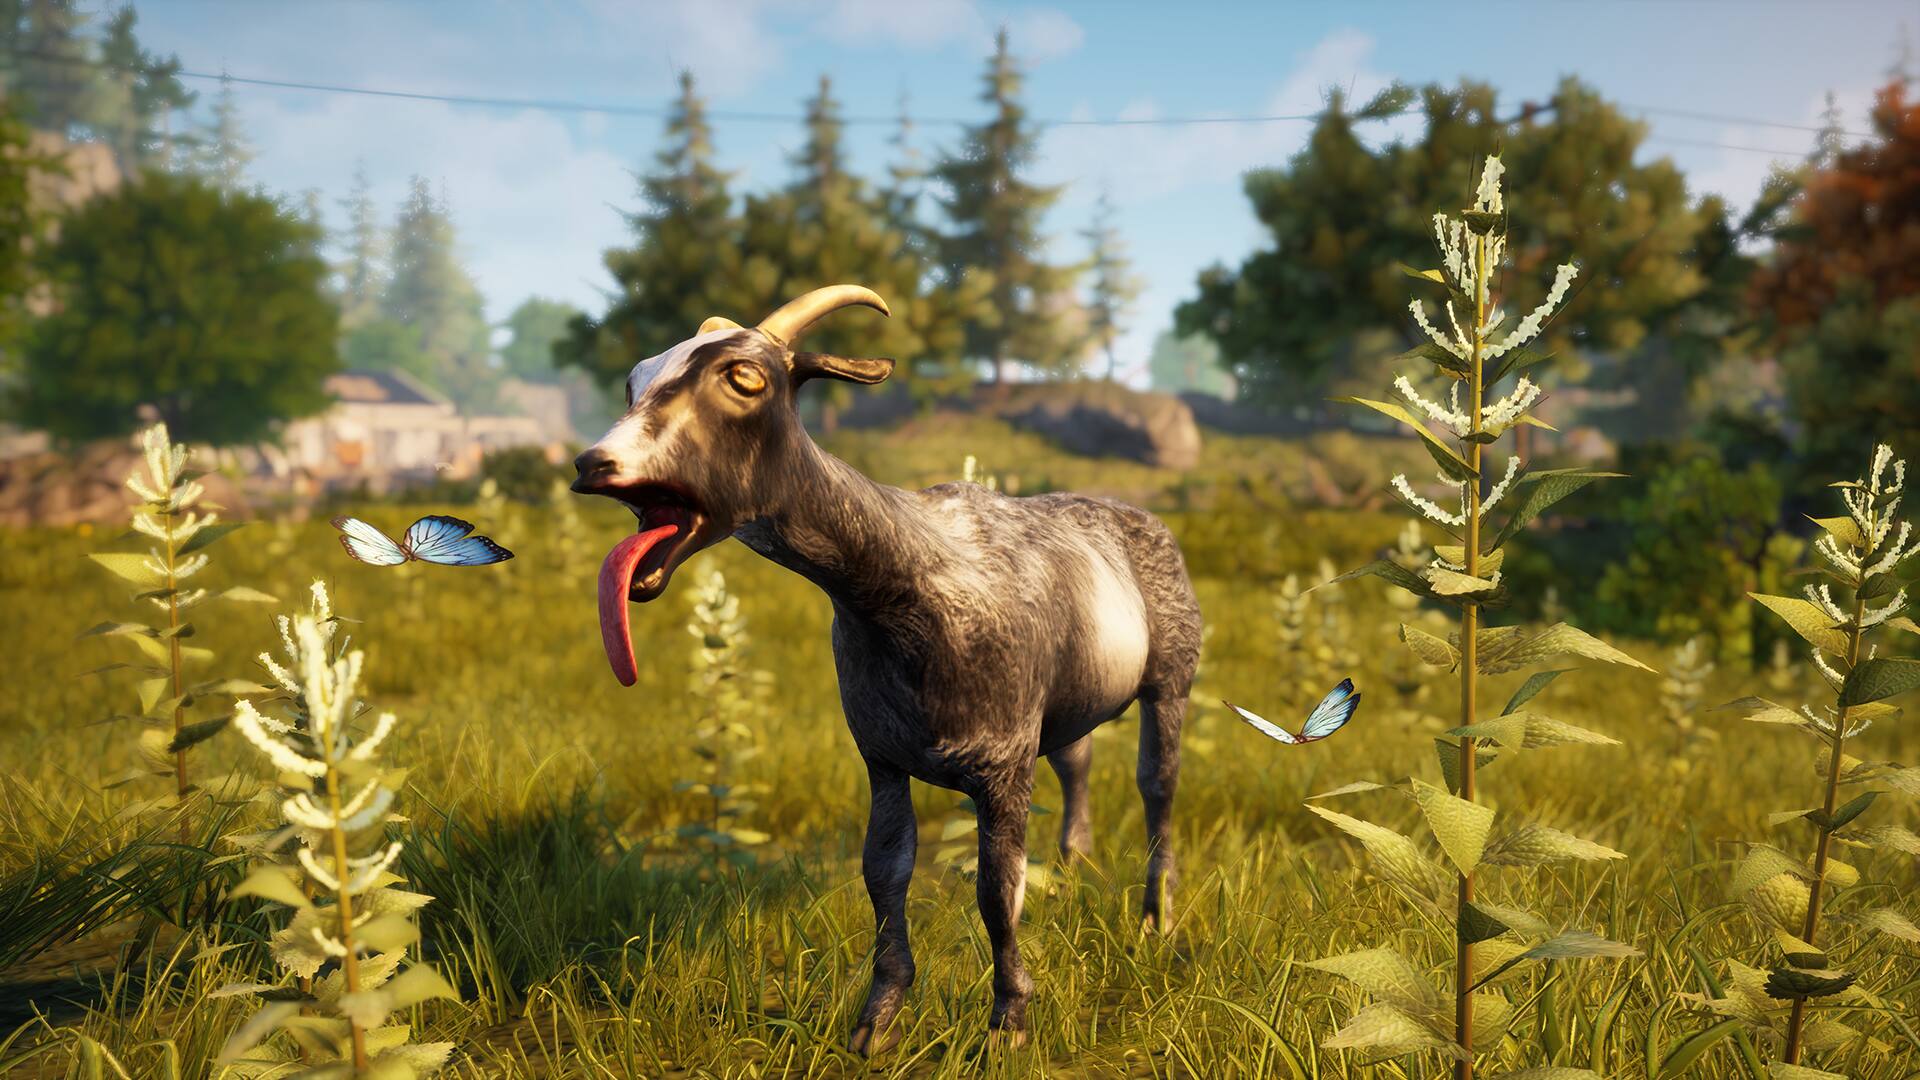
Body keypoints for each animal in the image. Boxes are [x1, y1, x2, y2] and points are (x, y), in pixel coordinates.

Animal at [571, 285, 1202, 1051]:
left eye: (744, 377)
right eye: (635, 381)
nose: (595, 464)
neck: (907, 591)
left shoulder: (1002, 764)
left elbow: (998, 887)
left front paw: (1009, 1021)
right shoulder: (883, 755)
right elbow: (884, 871)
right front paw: (878, 1019)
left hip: (1171, 677)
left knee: (1158, 784)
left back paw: (1154, 918)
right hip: (1067, 703)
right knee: (1077, 763)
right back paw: (1075, 874)